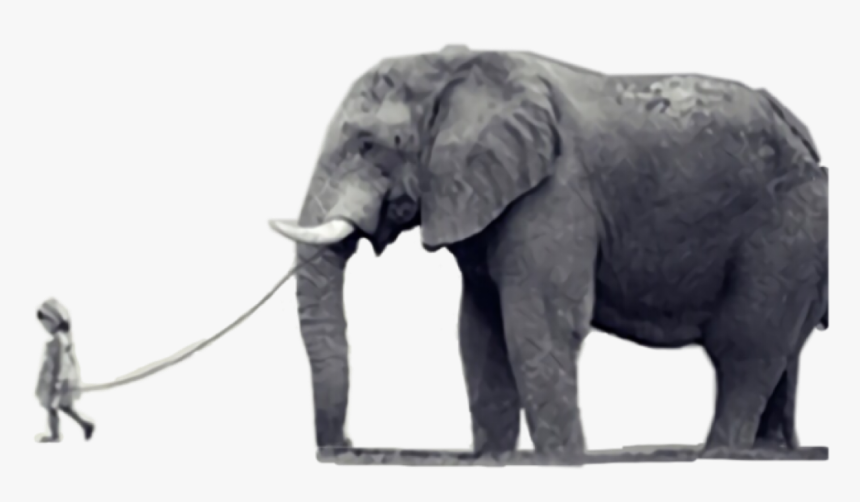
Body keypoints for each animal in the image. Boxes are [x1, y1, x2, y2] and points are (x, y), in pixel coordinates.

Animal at [270, 45, 829, 459]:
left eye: (367, 145)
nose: (344, 447)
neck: (454, 67)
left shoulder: (555, 193)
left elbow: (537, 324)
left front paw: (564, 461)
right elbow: (480, 333)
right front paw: (496, 461)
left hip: (784, 227)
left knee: (745, 348)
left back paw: (717, 454)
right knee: (780, 356)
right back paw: (770, 453)